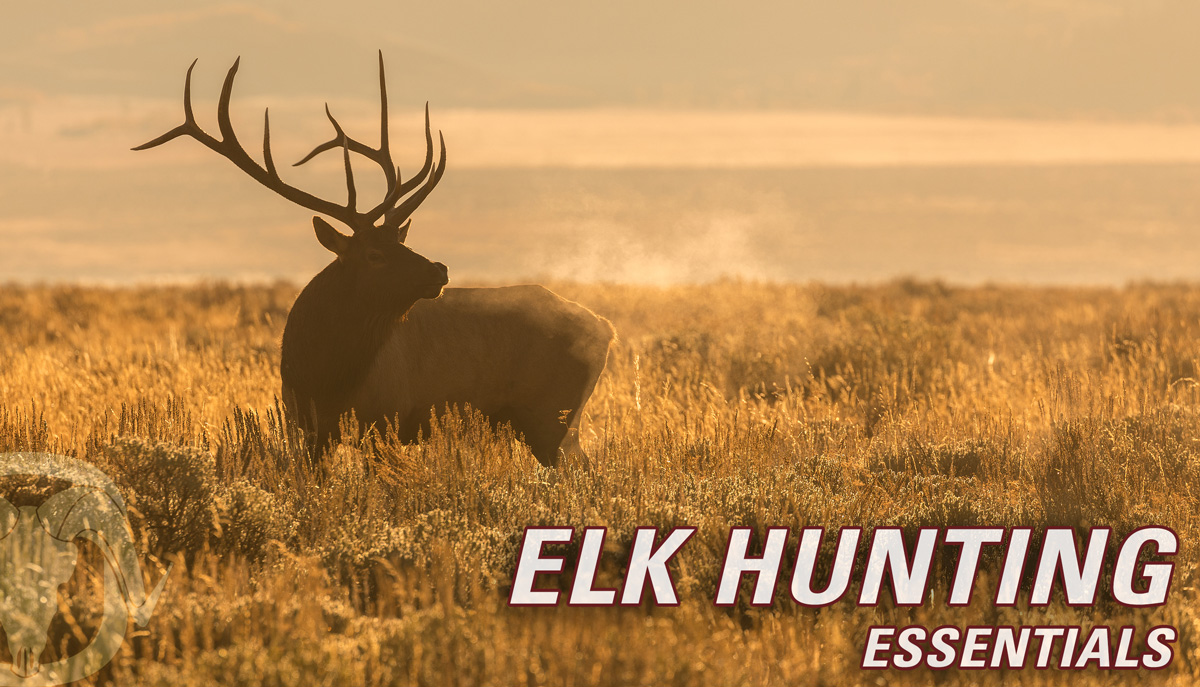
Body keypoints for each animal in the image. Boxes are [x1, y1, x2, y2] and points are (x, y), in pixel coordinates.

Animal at [134, 54, 615, 466]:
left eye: (399, 241)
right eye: (375, 253)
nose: (438, 269)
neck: (325, 372)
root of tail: (605, 328)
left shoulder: (386, 420)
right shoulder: (307, 428)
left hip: (551, 415)